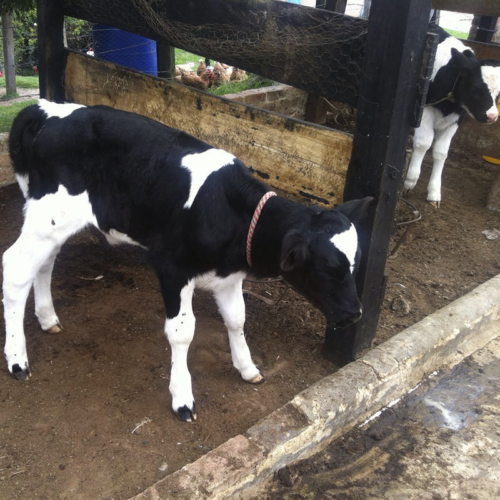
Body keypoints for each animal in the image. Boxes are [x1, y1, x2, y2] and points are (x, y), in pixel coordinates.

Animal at [2, 101, 372, 422]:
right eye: (328, 268)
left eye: (355, 263)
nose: (356, 314)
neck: (227, 210)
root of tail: (46, 109)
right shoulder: (172, 268)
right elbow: (182, 333)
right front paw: (182, 397)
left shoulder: (229, 275)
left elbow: (237, 318)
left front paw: (247, 367)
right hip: (48, 217)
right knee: (16, 269)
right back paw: (17, 359)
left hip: (52, 224)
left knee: (45, 263)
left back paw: (48, 318)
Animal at [404, 26, 500, 206]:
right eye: (475, 89)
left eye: (499, 92)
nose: (492, 117)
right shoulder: (424, 110)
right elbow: (423, 143)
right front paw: (410, 180)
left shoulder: (456, 119)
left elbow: (441, 152)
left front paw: (434, 192)